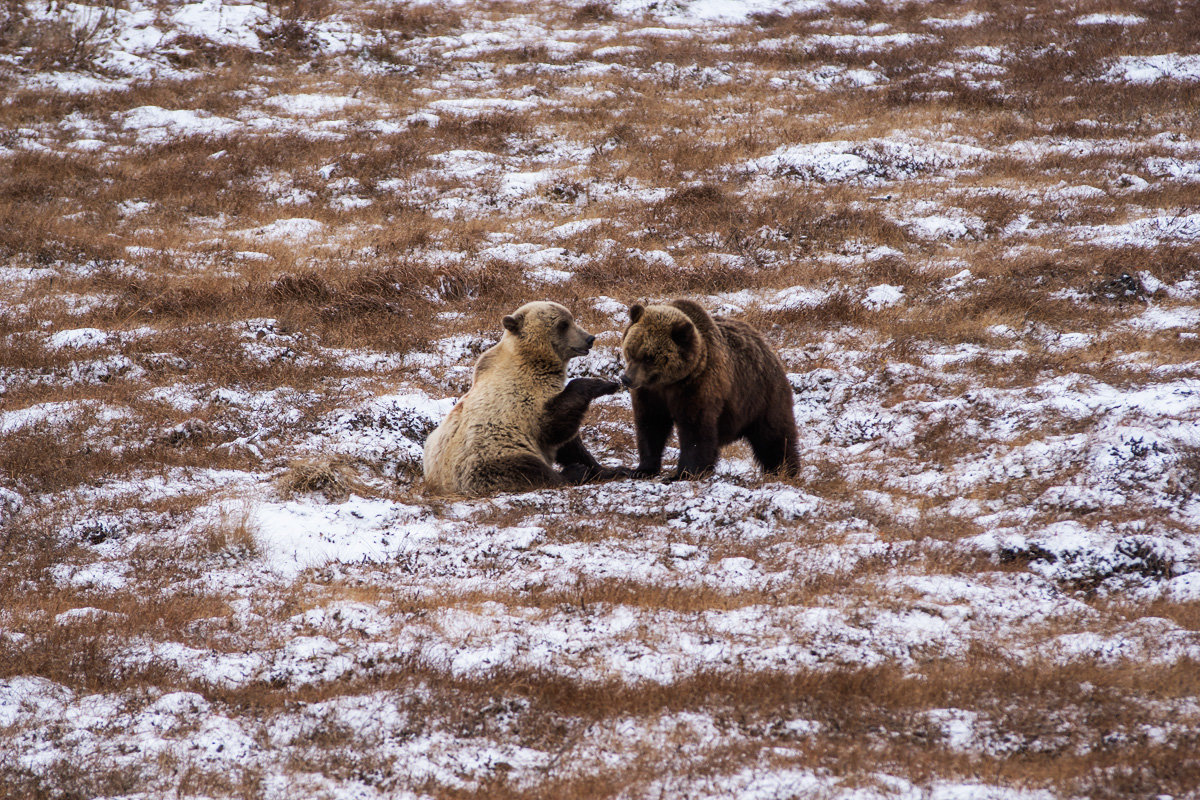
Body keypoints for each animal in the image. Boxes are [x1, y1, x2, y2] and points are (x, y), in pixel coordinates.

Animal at [422, 303, 619, 496]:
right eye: (563, 324)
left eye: (572, 319)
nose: (589, 338)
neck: (533, 363)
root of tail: (439, 485)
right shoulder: (521, 402)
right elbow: (555, 426)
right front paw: (604, 384)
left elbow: (571, 445)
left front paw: (611, 469)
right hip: (491, 456)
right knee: (527, 470)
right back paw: (573, 472)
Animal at [619, 297, 796, 479]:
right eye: (630, 351)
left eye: (649, 357)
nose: (626, 379)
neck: (669, 382)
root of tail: (767, 348)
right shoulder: (650, 393)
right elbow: (651, 425)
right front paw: (642, 469)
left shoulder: (698, 386)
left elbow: (695, 429)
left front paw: (684, 473)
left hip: (761, 396)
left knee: (774, 436)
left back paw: (785, 470)